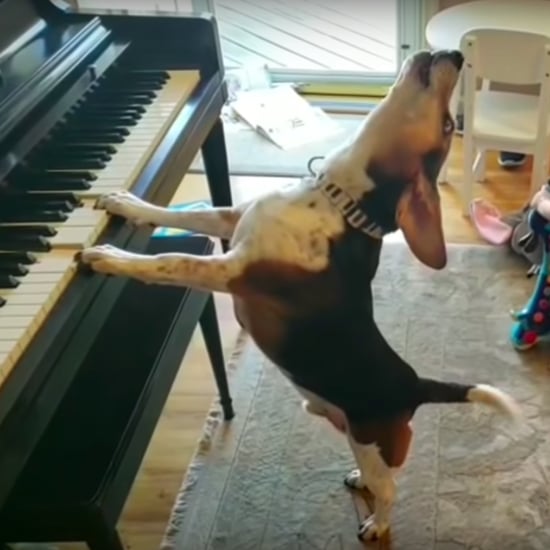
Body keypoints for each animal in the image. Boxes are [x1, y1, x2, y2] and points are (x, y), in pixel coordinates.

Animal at [76, 49, 520, 544]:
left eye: (446, 125)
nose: (458, 55)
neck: (336, 201)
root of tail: (414, 384)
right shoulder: (232, 220)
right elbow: (183, 214)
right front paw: (126, 204)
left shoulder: (232, 272)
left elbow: (171, 261)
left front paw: (109, 257)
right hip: (354, 435)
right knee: (373, 475)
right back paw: (358, 480)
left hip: (373, 441)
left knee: (389, 491)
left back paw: (377, 523)